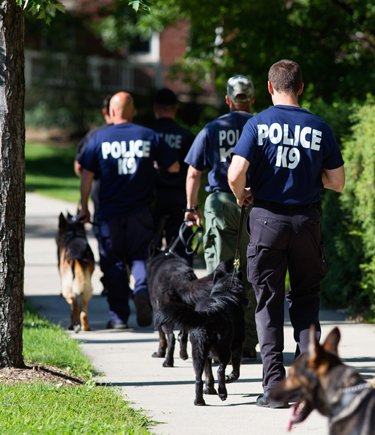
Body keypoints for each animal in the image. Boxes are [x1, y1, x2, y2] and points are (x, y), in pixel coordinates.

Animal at [154, 270, 248, 408]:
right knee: (220, 370)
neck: (225, 292)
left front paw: (209, 390)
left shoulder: (207, 354)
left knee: (198, 379)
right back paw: (222, 392)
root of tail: (210, 311)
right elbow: (236, 371)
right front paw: (229, 379)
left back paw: (199, 401)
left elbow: (208, 373)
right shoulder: (237, 344)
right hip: (224, 349)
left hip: (198, 352)